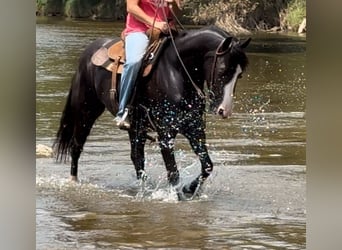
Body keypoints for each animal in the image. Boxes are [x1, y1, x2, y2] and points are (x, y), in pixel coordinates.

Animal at [54, 24, 251, 197]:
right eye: (224, 70)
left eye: (239, 74)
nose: (224, 110)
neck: (176, 71)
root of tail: (89, 52)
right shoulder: (165, 133)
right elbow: (173, 172)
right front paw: (176, 196)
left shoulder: (193, 128)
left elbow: (207, 165)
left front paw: (189, 189)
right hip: (86, 111)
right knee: (76, 146)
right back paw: (73, 181)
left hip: (135, 126)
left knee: (136, 157)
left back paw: (145, 187)